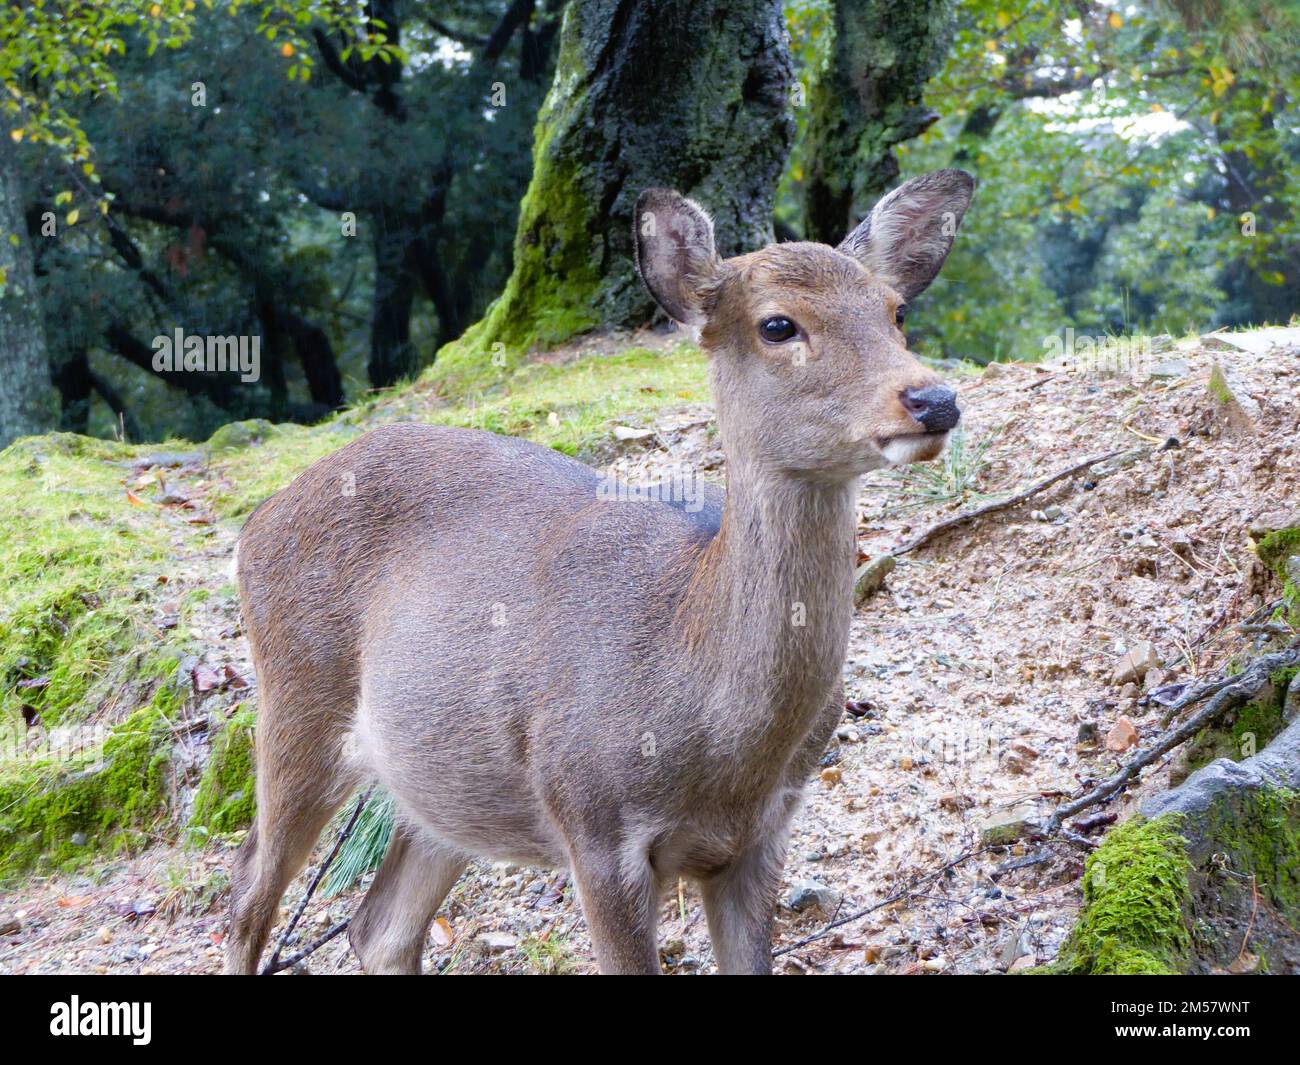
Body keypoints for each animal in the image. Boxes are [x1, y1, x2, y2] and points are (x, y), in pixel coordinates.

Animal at [226, 166, 977, 972]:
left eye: (897, 311)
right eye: (778, 324)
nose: (934, 399)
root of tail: (256, 523)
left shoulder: (763, 835)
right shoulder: (593, 821)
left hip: (445, 785)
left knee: (379, 923)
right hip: (297, 697)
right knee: (247, 891)